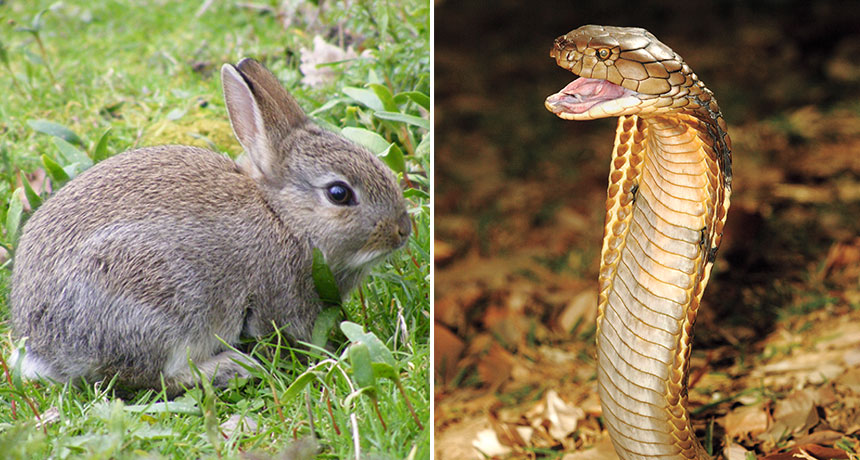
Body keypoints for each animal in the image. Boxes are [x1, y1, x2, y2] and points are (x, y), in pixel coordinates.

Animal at [9, 58, 412, 395]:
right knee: (152, 377)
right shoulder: (284, 297)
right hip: (158, 304)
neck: (283, 216)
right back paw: (234, 367)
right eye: (339, 193)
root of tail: (44, 350)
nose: (402, 230)